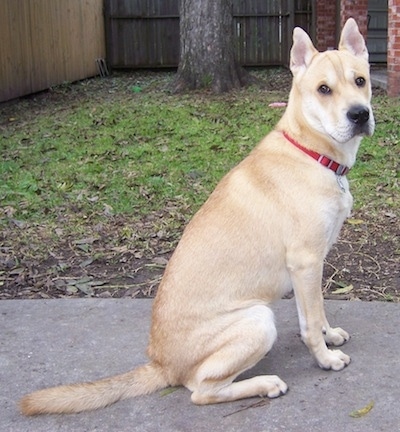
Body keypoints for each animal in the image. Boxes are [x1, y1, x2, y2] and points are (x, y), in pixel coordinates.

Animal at [19, 18, 376, 416]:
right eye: (323, 89)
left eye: (360, 80)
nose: (359, 114)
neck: (311, 152)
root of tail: (160, 364)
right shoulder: (306, 262)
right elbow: (311, 323)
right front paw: (325, 358)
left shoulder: (311, 269)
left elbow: (316, 313)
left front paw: (331, 336)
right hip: (258, 320)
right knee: (201, 390)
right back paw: (264, 384)